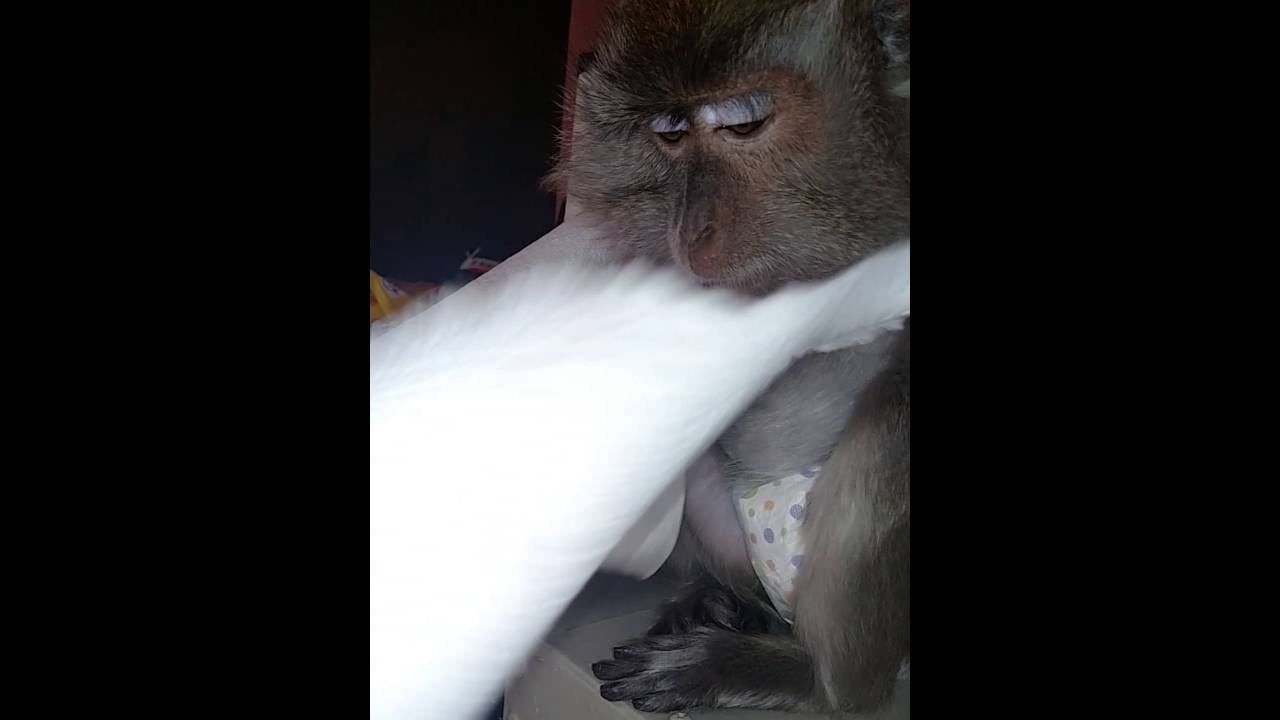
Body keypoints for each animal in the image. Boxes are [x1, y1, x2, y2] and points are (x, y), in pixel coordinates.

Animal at [546, 0, 909, 714]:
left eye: (743, 122)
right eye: (671, 133)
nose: (689, 230)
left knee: (893, 416)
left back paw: (803, 679)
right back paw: (722, 602)